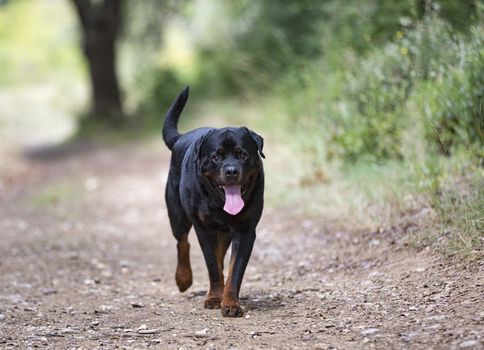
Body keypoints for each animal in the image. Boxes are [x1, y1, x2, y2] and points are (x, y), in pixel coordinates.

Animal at [163, 86, 264, 316]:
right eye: (216, 157)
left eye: (243, 155)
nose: (231, 170)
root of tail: (181, 138)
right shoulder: (204, 229)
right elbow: (211, 266)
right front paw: (214, 298)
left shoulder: (245, 231)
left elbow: (235, 270)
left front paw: (230, 302)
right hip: (177, 215)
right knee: (183, 242)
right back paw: (183, 278)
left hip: (224, 232)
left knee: (220, 256)